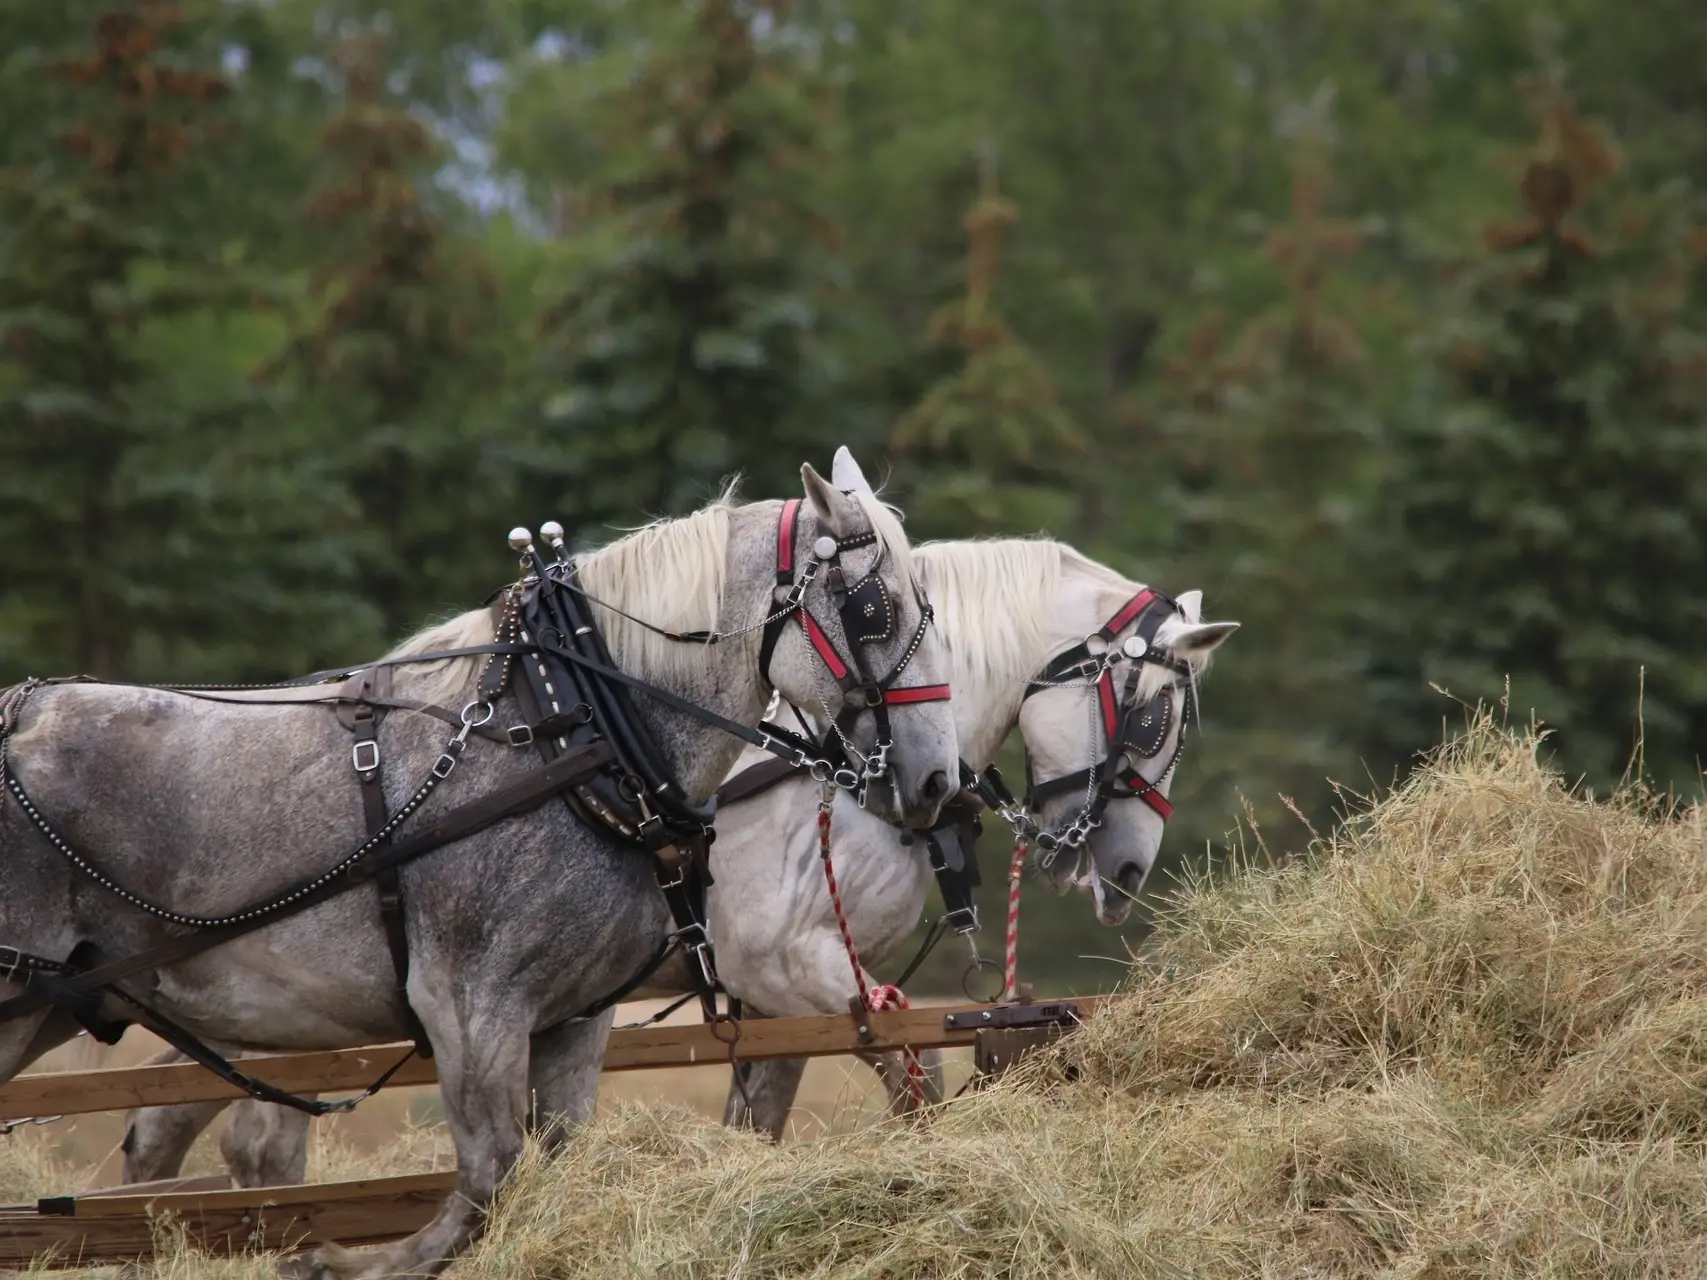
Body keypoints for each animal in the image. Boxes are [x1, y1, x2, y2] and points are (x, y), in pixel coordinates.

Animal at [0, 457, 962, 1276]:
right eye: (876, 608)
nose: (937, 779)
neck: (570, 734)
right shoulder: (471, 1003)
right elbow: (490, 1177)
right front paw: (334, 1260)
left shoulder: (573, 1021)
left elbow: (550, 1166)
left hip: (55, 1003)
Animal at [126, 532, 1235, 1181]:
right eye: (1149, 717)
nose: (1125, 874)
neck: (831, 763)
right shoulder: (787, 965)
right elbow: (914, 1075)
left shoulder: (779, 1003)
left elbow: (768, 1120)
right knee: (227, 1136)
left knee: (199, 1128)